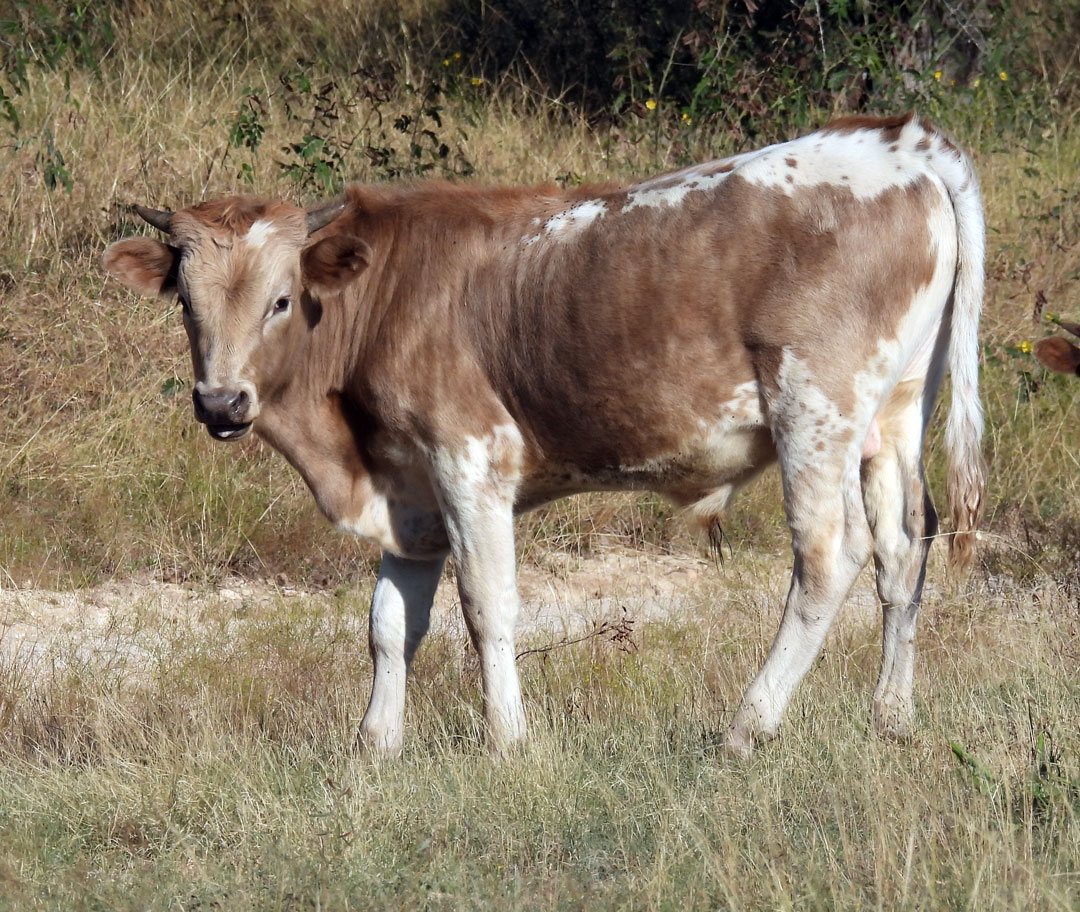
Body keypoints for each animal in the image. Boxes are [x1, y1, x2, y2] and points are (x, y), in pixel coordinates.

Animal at [103, 112, 989, 756]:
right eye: (186, 302)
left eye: (281, 299)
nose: (222, 403)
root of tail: (901, 139)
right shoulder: (408, 489)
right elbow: (389, 625)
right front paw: (375, 744)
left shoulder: (468, 461)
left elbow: (487, 607)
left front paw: (507, 738)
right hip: (892, 416)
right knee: (902, 550)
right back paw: (891, 716)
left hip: (814, 408)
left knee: (829, 557)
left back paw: (748, 726)